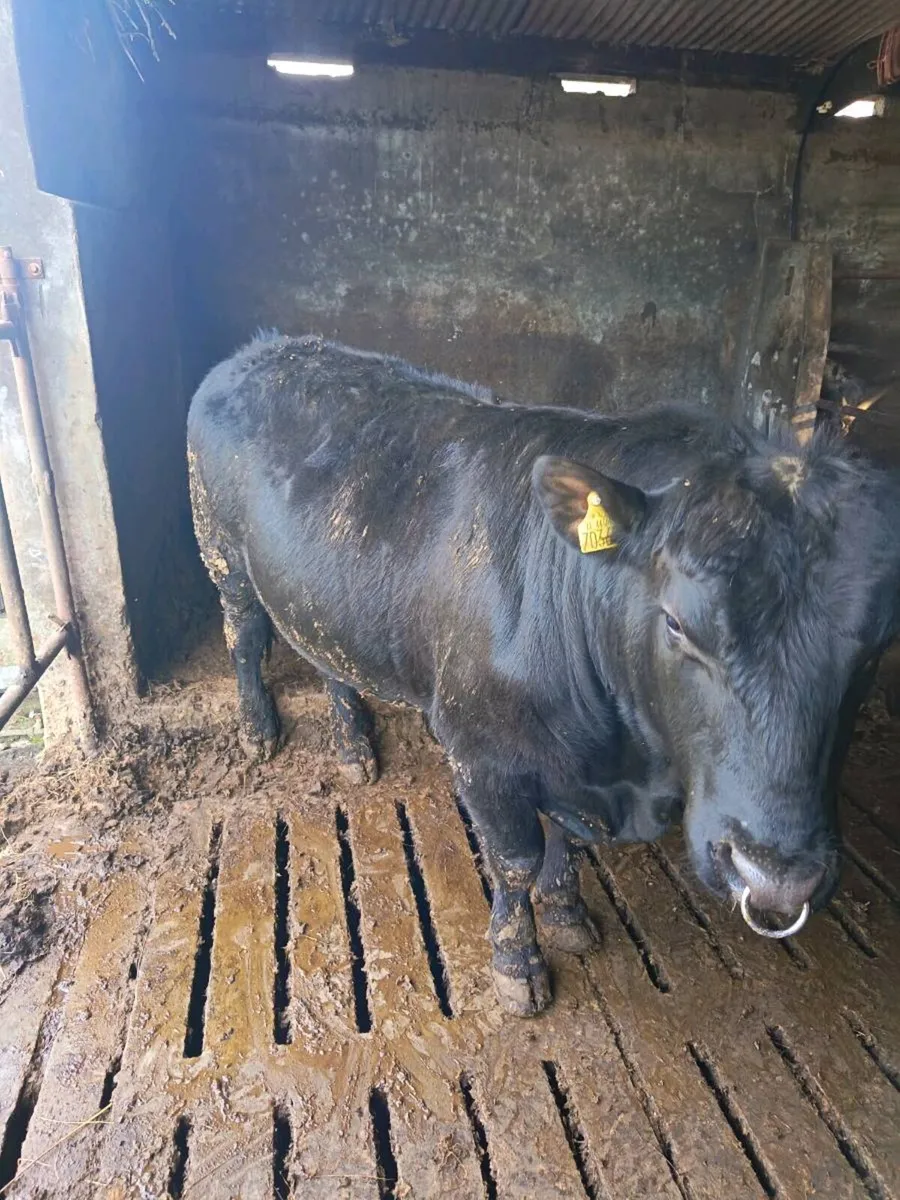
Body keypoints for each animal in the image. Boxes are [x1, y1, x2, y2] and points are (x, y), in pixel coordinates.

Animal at [187, 332, 900, 1016]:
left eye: (876, 646)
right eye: (675, 623)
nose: (776, 878)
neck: (620, 766)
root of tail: (259, 351)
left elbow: (565, 844)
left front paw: (566, 914)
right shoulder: (480, 752)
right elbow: (516, 861)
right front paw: (517, 964)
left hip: (314, 597)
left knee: (326, 659)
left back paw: (354, 746)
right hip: (220, 551)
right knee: (244, 634)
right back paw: (259, 730)